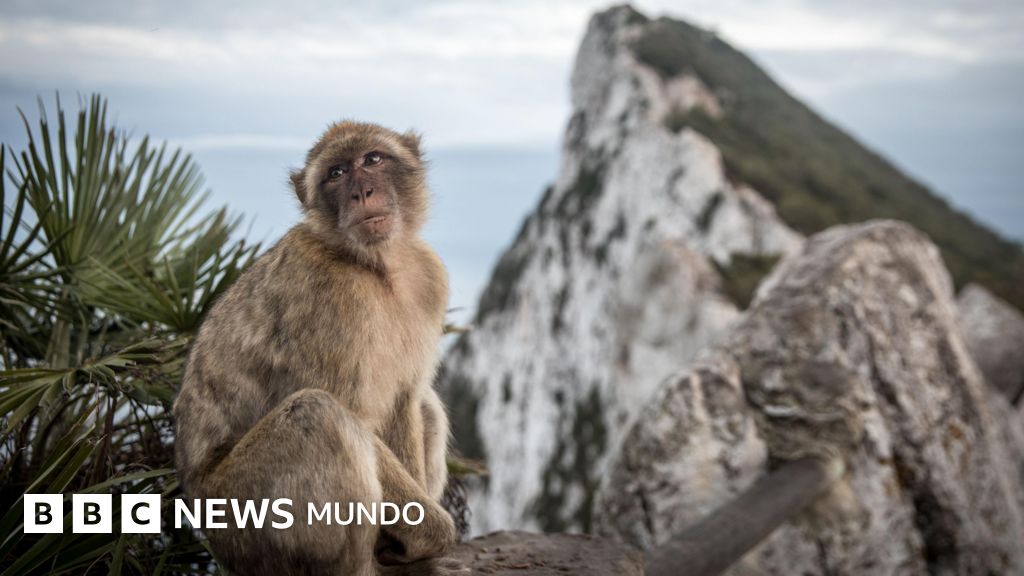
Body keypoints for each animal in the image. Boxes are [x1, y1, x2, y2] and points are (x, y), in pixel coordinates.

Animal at [172, 121, 466, 576]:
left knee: (426, 406)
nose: (362, 192)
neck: (375, 266)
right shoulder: (327, 296)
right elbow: (353, 415)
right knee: (317, 413)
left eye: (373, 159)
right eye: (337, 173)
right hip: (243, 522)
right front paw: (433, 533)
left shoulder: (428, 276)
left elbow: (405, 400)